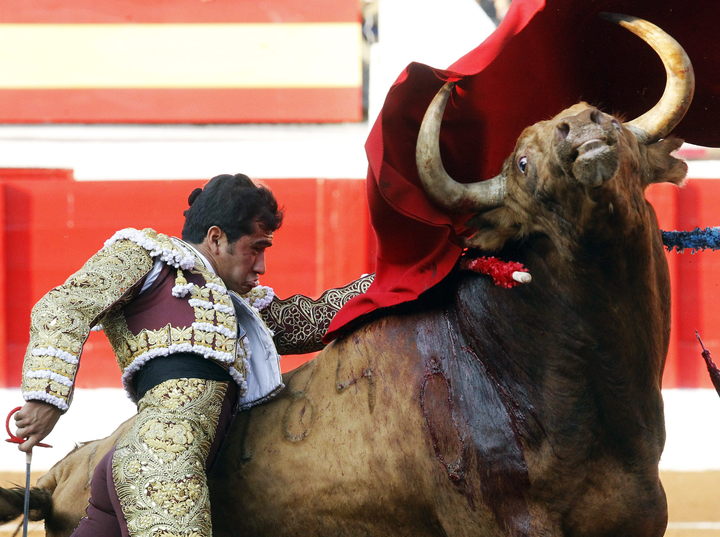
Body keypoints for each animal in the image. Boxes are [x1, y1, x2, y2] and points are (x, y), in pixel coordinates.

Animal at [1, 12, 696, 536]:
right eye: (522, 163)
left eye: (607, 116)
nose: (583, 127)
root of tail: (65, 472)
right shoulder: (506, 521)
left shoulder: (642, 518)